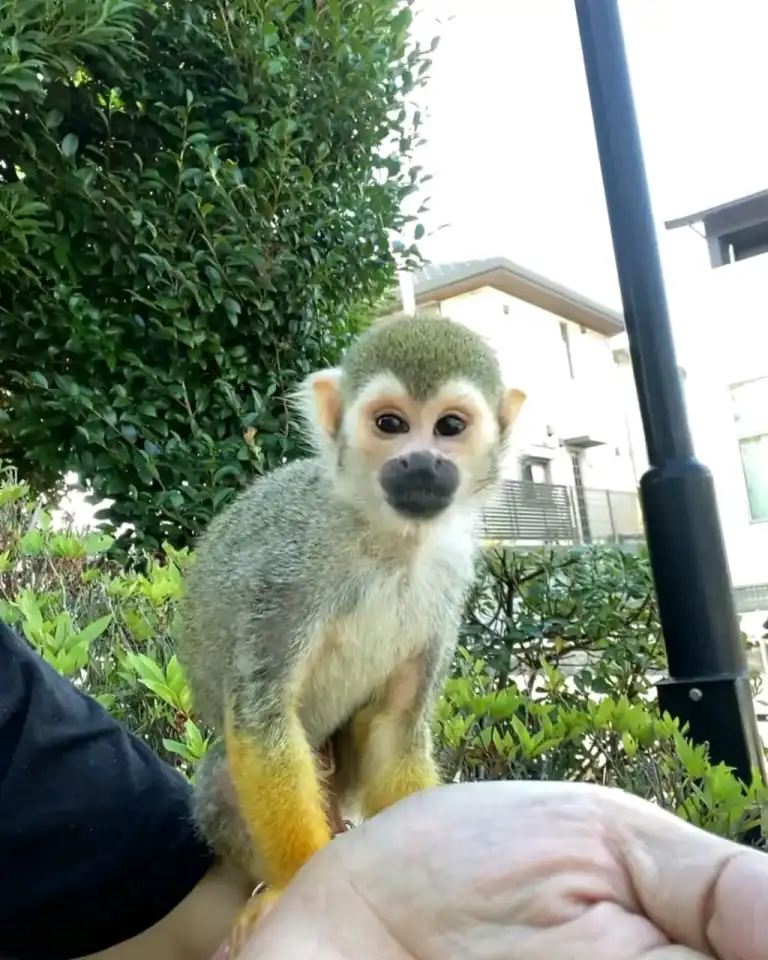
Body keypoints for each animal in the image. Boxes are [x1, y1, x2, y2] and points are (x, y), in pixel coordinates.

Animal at [176, 313, 526, 945]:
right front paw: (298, 883)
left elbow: (395, 724)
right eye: (391, 424)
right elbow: (263, 717)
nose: (421, 462)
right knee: (223, 775)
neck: (390, 539)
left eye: (449, 426)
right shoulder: (290, 568)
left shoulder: (449, 580)